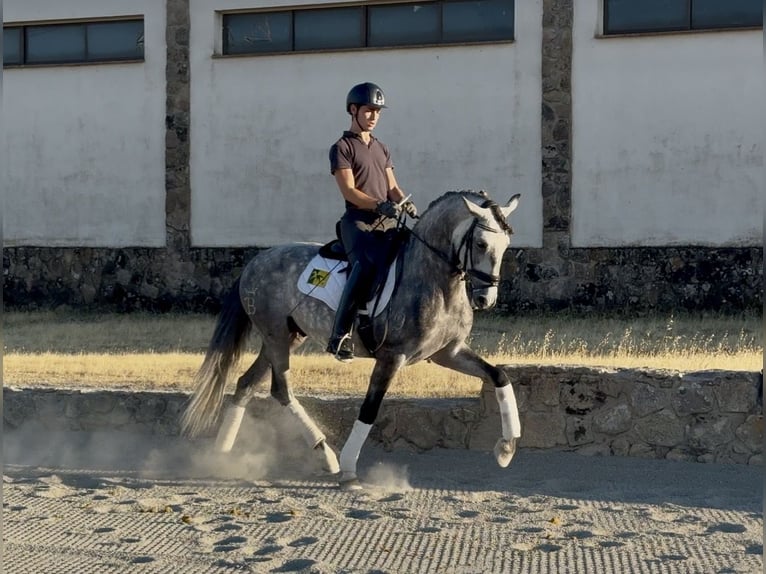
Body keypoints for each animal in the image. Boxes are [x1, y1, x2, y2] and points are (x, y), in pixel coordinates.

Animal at [180, 189, 522, 489]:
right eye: (480, 243)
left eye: (506, 244)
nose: (485, 299)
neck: (435, 280)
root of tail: (256, 261)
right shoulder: (391, 357)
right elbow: (369, 410)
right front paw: (348, 471)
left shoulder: (447, 352)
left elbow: (499, 375)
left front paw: (507, 448)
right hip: (275, 335)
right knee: (281, 389)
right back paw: (326, 455)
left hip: (287, 336)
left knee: (247, 383)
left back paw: (223, 454)